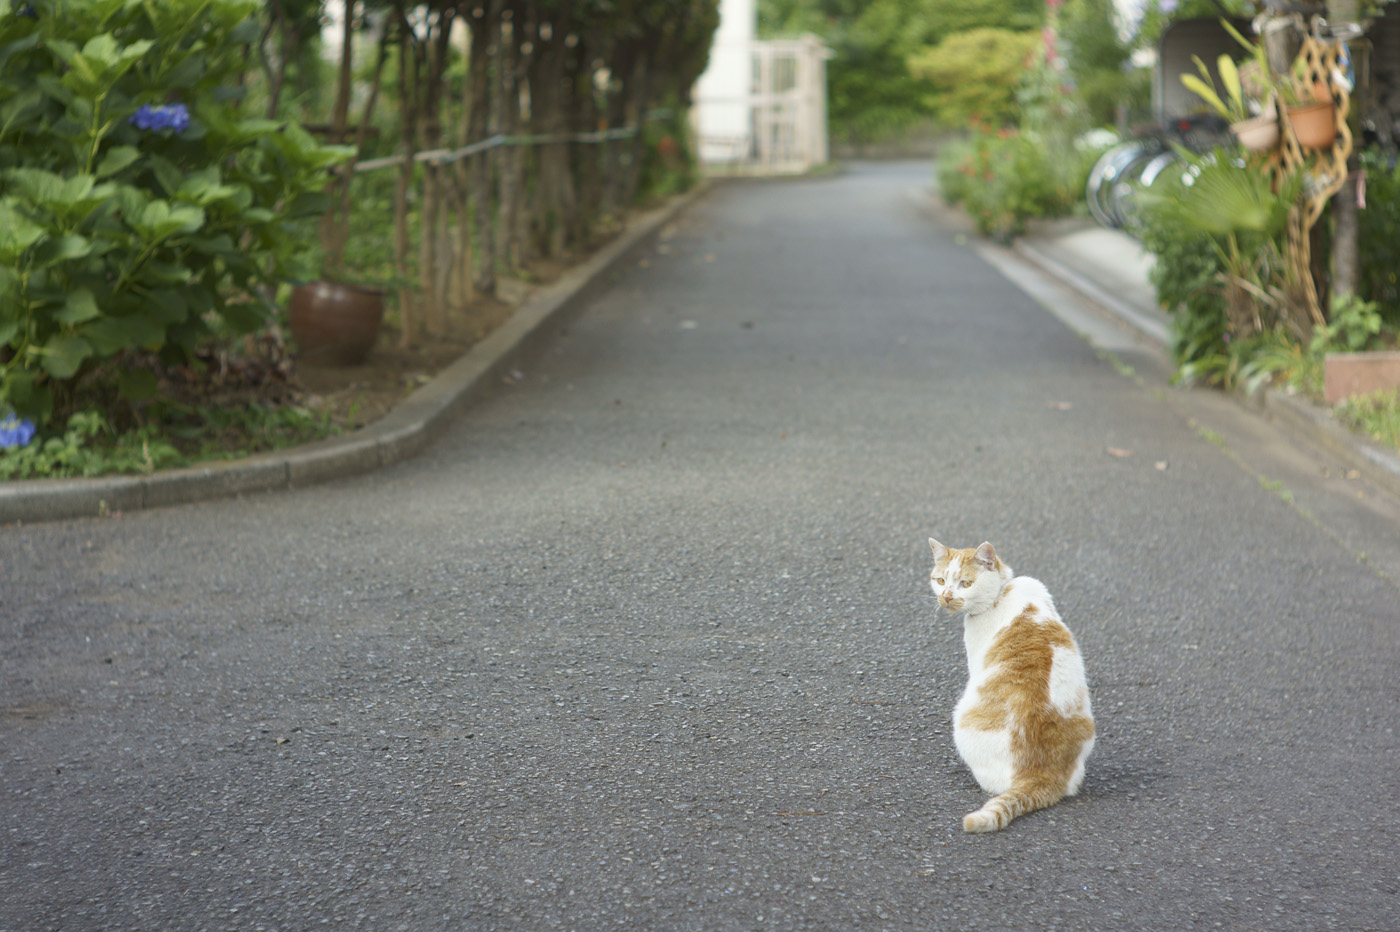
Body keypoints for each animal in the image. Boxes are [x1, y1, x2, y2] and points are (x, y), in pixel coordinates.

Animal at [929, 537, 1092, 834]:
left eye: (966, 583)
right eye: (940, 580)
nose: (946, 596)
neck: (1002, 592)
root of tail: (1042, 775)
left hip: (963, 718)